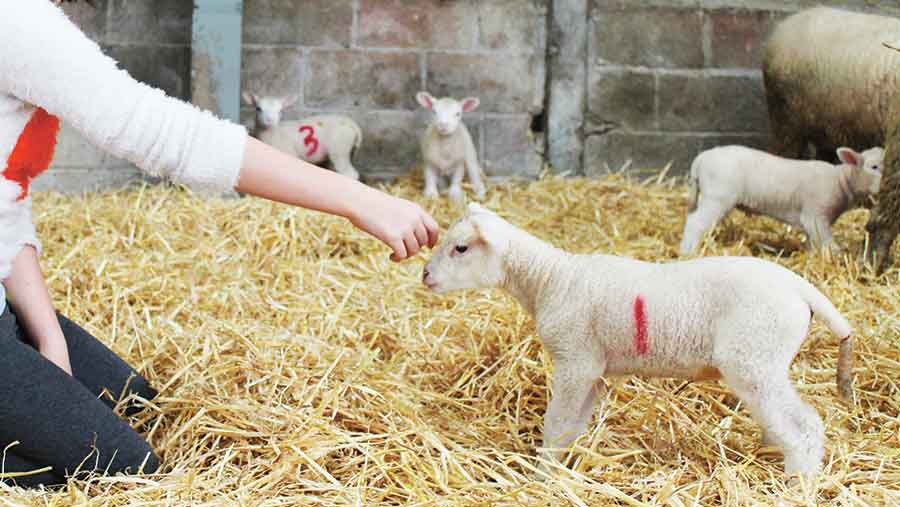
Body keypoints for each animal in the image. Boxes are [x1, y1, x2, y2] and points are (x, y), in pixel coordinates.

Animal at [422, 203, 854, 478]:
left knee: (805, 427)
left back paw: (797, 485)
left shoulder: (574, 361)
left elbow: (556, 424)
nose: (425, 275)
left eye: (461, 248)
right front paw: (561, 469)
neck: (551, 280)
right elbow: (572, 427)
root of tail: (801, 288)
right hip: (765, 362)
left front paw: (541, 476)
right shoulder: (592, 370)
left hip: (755, 358)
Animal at [679, 145, 884, 256]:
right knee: (695, 223)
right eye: (874, 167)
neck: (840, 180)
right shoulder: (816, 216)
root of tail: (701, 158)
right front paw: (837, 257)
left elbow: (813, 243)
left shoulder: (811, 222)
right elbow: (827, 243)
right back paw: (688, 252)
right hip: (717, 197)